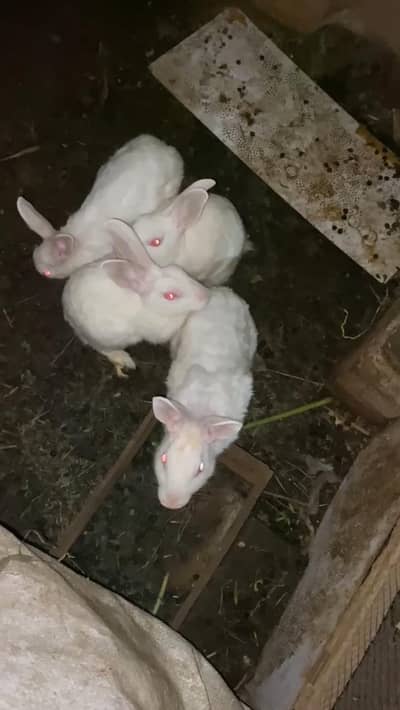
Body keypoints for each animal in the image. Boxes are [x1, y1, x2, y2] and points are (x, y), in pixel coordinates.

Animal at [62, 218, 209, 377]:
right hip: (104, 337)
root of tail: (66, 307)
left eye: (181, 272)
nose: (205, 295)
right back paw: (124, 358)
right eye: (170, 296)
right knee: (101, 348)